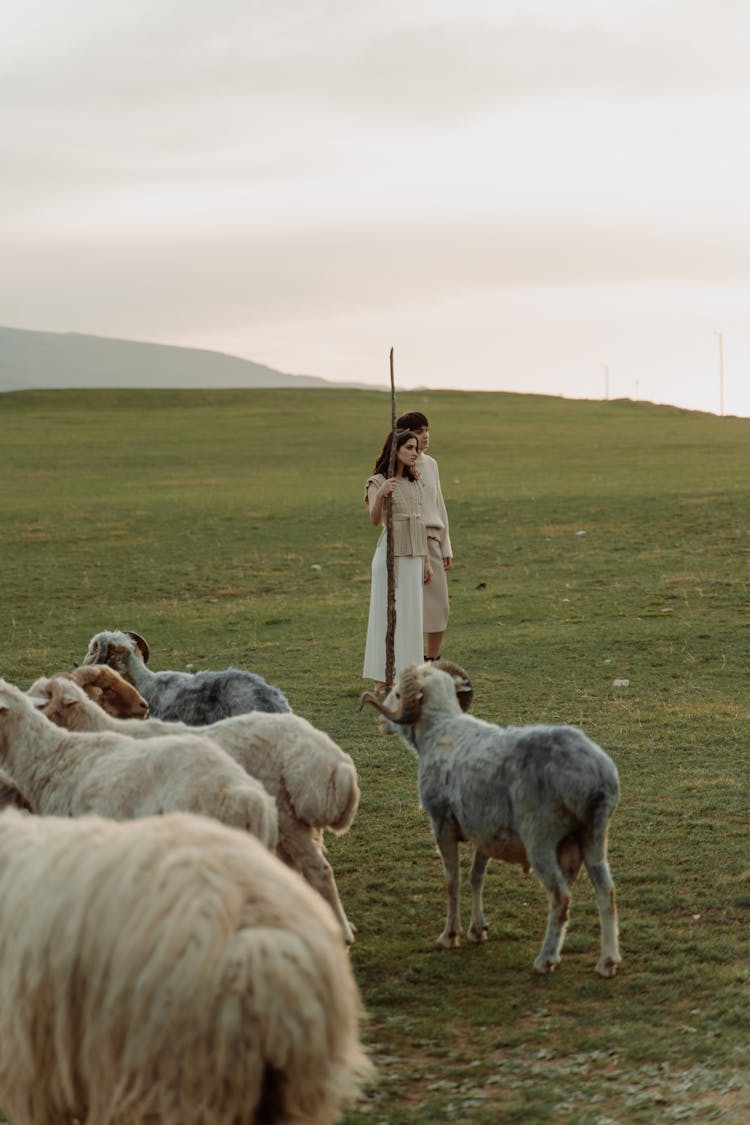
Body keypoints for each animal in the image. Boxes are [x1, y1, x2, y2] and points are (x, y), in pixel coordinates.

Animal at [359, 657, 620, 976]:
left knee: (560, 897)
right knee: (606, 891)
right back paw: (607, 961)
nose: (381, 722)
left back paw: (546, 959)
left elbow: (453, 880)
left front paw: (450, 935)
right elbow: (476, 877)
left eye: (397, 693)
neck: (440, 731)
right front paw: (477, 930)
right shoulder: (483, 831)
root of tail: (594, 774)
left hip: (541, 840)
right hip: (593, 835)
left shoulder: (442, 823)